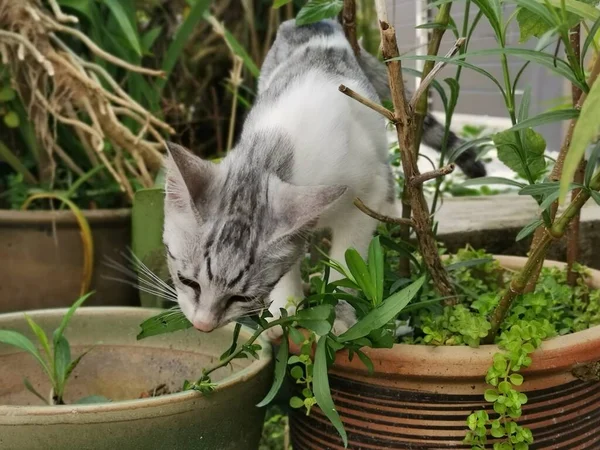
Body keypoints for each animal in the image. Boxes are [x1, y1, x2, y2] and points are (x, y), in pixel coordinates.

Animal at [163, 20, 488, 338]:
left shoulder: (366, 195)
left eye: (239, 297)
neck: (272, 152)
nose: (203, 325)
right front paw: (284, 308)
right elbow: (292, 261)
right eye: (186, 281)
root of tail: (316, 20)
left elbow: (348, 260)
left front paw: (340, 314)